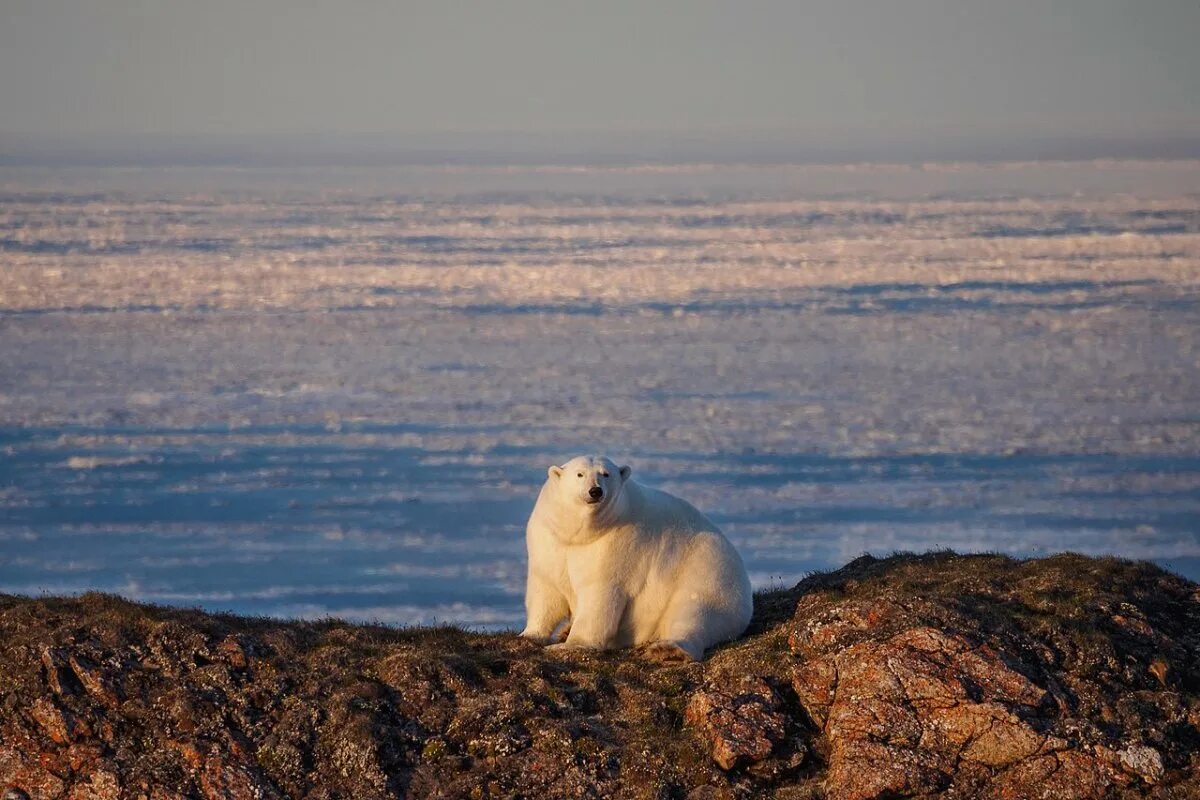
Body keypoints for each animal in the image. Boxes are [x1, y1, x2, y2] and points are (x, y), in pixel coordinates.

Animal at [518, 453, 748, 662]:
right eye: (579, 474)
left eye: (606, 474)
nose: (595, 491)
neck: (582, 533)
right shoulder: (549, 540)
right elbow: (546, 590)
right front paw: (530, 635)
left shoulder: (616, 546)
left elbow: (599, 594)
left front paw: (571, 644)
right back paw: (565, 629)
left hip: (706, 572)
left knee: (694, 611)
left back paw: (668, 649)